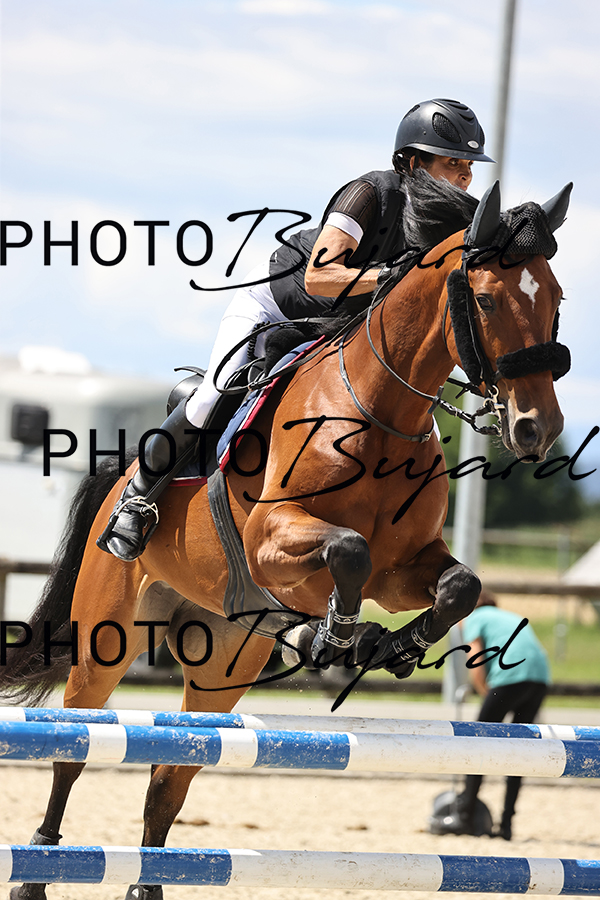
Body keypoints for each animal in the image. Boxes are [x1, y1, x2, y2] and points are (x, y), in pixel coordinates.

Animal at [2, 175, 572, 900]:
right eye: (490, 298)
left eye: (556, 298)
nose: (537, 428)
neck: (381, 411)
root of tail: (117, 475)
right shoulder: (271, 542)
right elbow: (346, 550)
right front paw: (340, 637)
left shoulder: (401, 569)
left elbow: (458, 586)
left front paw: (395, 644)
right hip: (108, 638)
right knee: (77, 747)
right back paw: (36, 873)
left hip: (222, 662)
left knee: (170, 775)